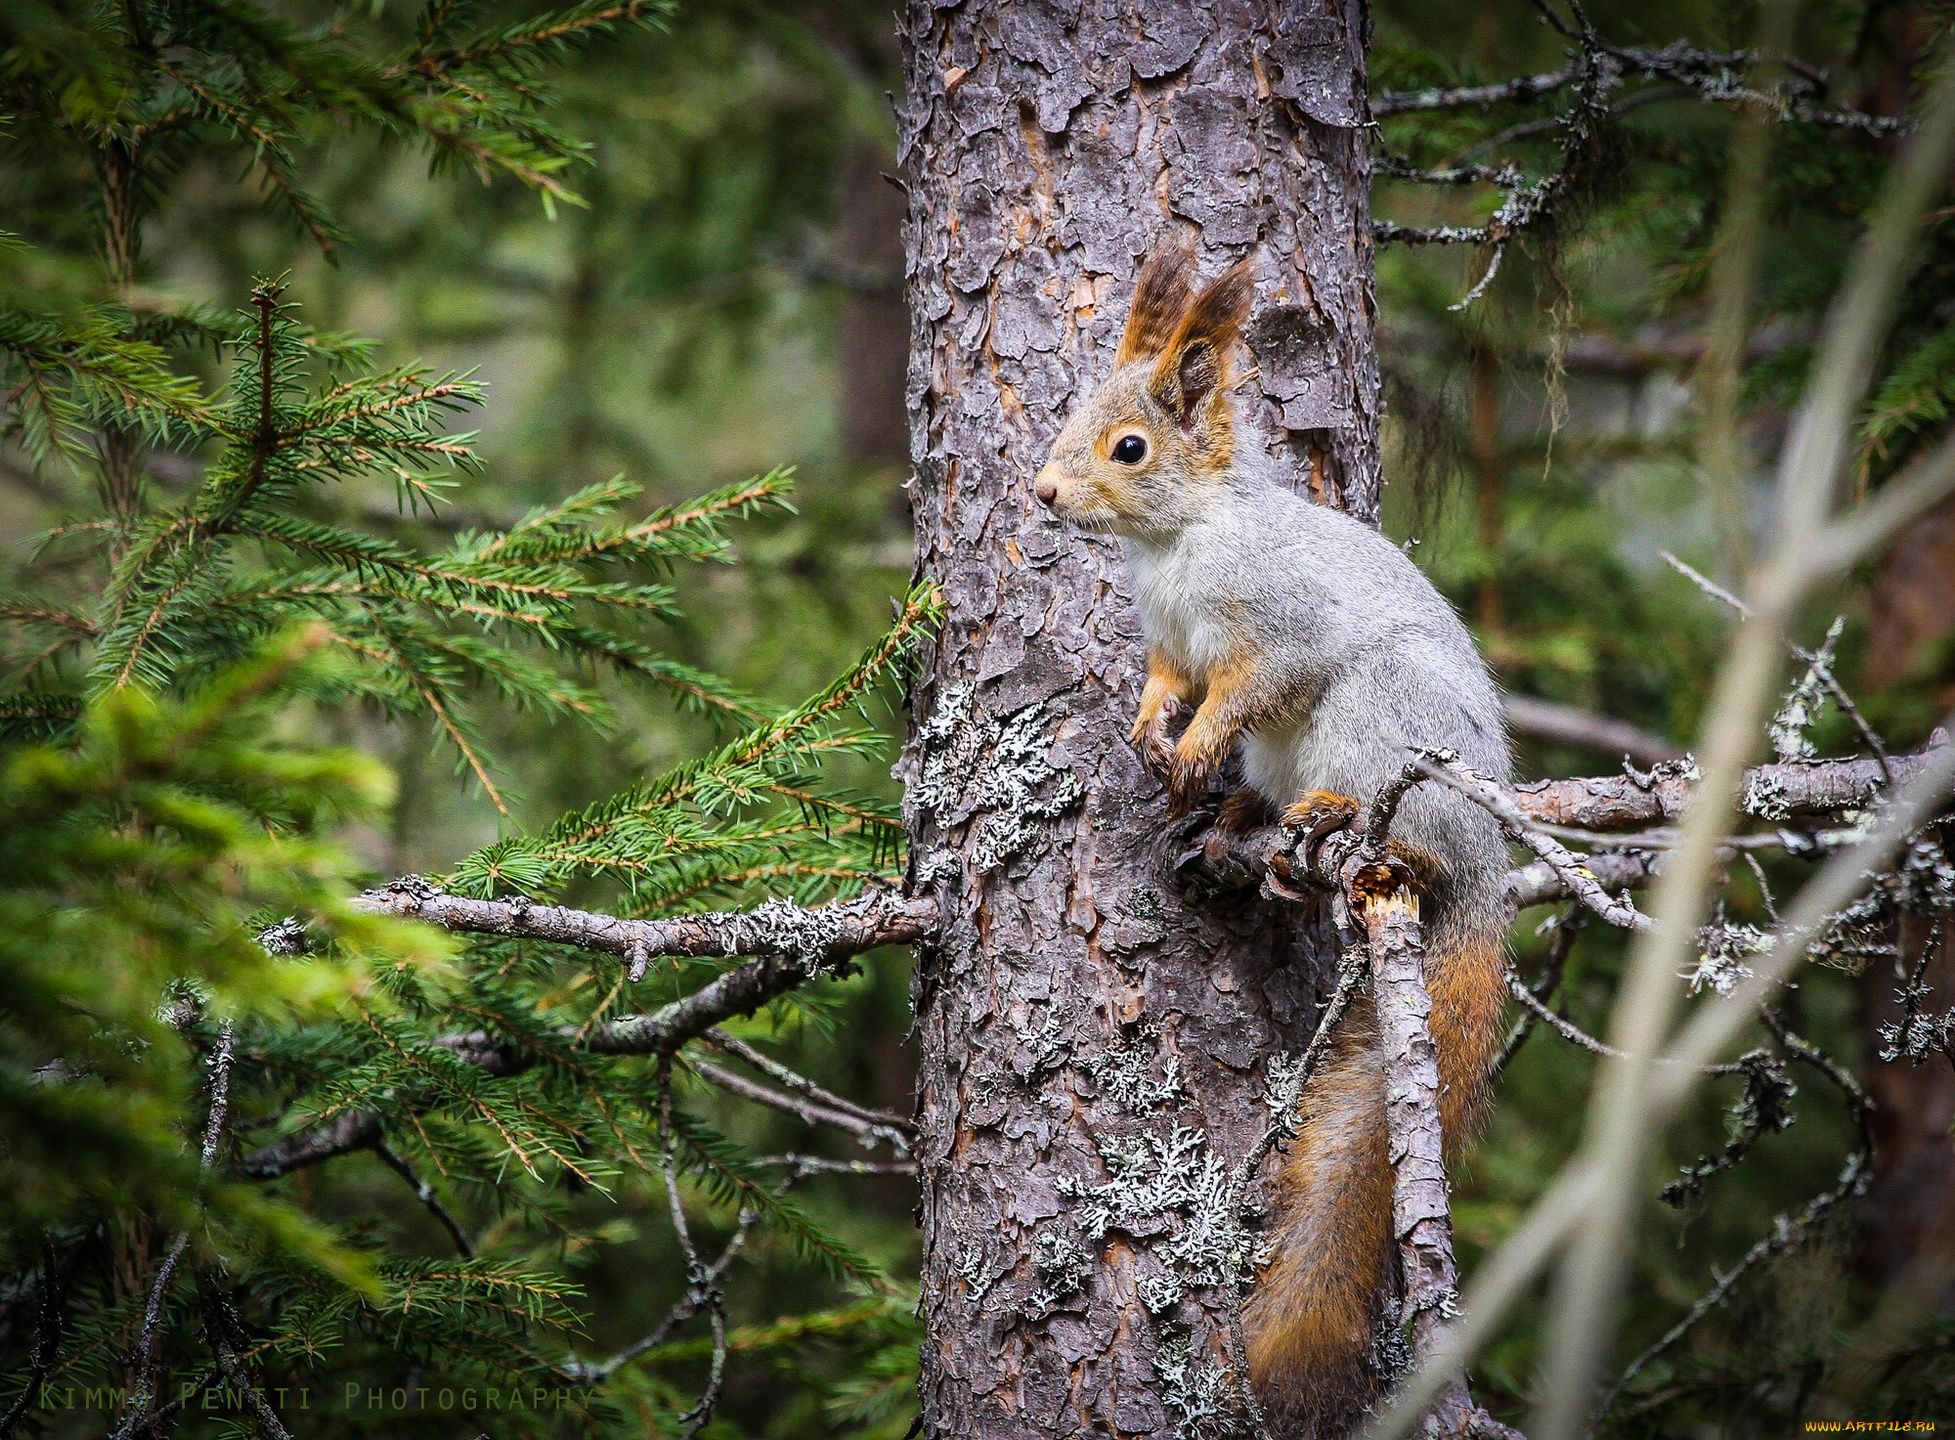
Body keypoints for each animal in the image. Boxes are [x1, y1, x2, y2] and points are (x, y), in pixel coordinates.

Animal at [1040, 241, 1509, 1430]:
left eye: (1128, 447)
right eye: (1072, 414)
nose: (1042, 493)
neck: (1178, 542)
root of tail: (1491, 872)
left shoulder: (1280, 636)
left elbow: (1243, 690)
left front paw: (1192, 745)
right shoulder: (1170, 644)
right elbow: (1168, 686)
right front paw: (1151, 736)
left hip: (1379, 727)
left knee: (1404, 835)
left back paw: (1343, 831)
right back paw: (1238, 833)